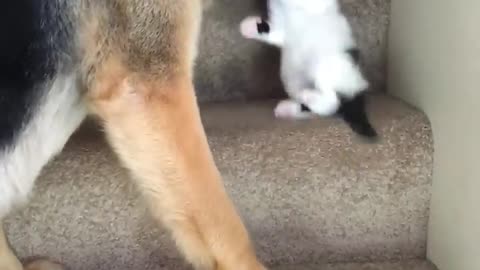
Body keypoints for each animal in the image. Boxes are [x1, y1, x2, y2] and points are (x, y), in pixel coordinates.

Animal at [240, 0, 378, 138]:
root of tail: (358, 88)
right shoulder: (281, 31)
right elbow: (273, 32)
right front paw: (250, 27)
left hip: (327, 65)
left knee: (332, 101)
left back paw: (308, 95)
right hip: (298, 83)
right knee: (318, 108)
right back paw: (288, 108)